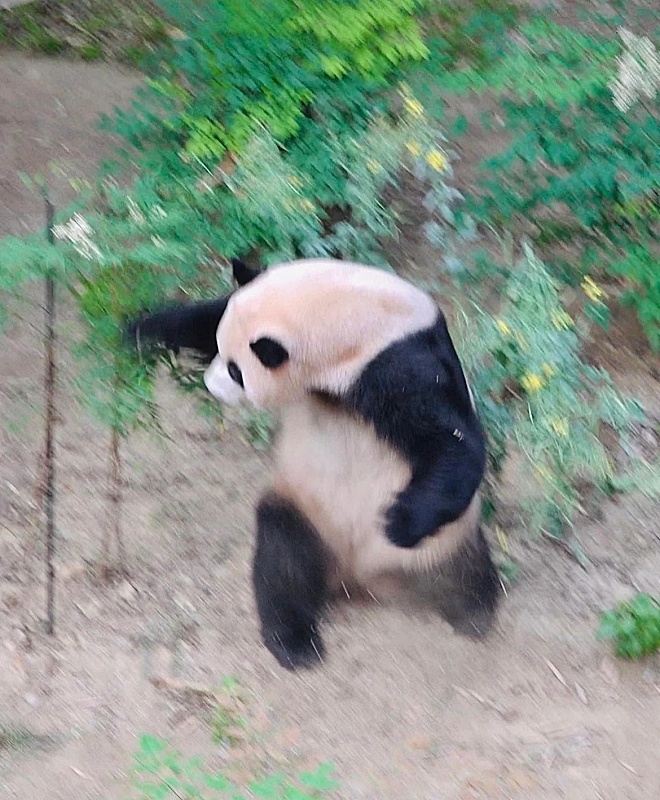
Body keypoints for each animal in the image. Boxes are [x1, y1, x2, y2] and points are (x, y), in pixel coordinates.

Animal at [128, 257, 501, 670]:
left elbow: (452, 441)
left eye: (236, 371)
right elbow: (204, 318)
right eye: (223, 355)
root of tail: (359, 577)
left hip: (445, 540)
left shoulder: (400, 360)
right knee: (284, 558)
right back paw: (295, 641)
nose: (212, 386)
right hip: (305, 510)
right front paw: (139, 331)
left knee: (466, 575)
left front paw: (398, 522)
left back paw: (473, 613)